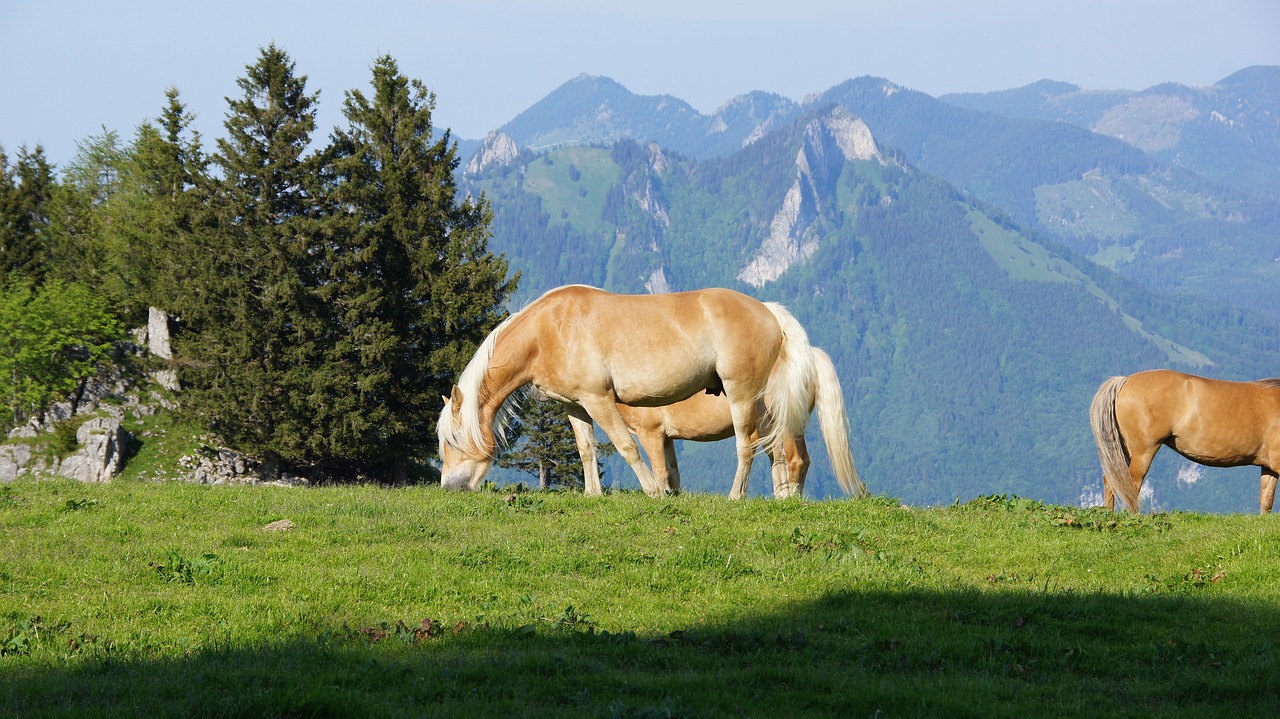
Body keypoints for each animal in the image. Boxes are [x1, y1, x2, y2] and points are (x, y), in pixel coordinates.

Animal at [440, 282, 814, 496]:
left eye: (452, 441)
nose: (450, 488)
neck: (548, 330)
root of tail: (768, 311)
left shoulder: (599, 400)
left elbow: (626, 447)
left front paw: (653, 491)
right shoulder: (575, 406)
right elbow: (586, 449)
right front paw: (593, 495)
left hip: (741, 395)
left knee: (746, 445)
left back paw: (736, 497)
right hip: (761, 403)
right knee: (775, 448)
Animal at [565, 347, 865, 498]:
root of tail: (808, 354)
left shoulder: (651, 433)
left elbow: (660, 471)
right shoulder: (668, 438)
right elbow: (673, 473)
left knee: (795, 459)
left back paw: (788, 497)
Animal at [1090, 365, 1280, 511]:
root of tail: (1125, 380)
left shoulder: (1268, 467)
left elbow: (1266, 500)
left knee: (1112, 481)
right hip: (1143, 451)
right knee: (1131, 486)